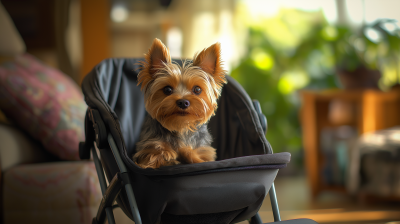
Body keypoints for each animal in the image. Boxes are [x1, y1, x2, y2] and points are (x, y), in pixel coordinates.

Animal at [134, 38, 227, 168]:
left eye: (197, 89)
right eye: (167, 89)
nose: (183, 102)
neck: (181, 128)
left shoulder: (204, 151)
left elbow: (194, 154)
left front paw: (188, 153)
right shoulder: (147, 149)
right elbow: (156, 153)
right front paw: (170, 154)